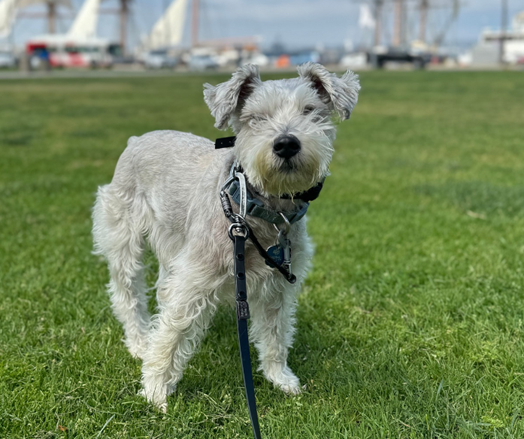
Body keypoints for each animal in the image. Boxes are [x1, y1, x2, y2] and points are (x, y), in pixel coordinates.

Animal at [92, 62, 358, 412]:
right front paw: (155, 390)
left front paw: (280, 378)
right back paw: (139, 342)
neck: (258, 207)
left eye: (311, 111)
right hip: (125, 240)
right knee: (128, 294)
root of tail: (136, 139)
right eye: (255, 118)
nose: (286, 144)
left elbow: (275, 334)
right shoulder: (194, 280)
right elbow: (173, 333)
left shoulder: (276, 287)